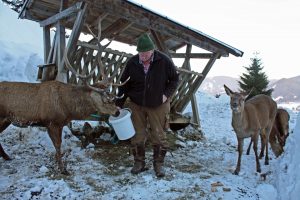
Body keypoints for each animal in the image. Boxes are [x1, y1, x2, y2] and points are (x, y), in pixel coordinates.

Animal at [0, 19, 127, 175]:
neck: (67, 109)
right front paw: (62, 169)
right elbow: (58, 145)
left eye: (111, 96)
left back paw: (7, 157)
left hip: (6, 119)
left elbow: (58, 146)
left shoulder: (59, 123)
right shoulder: (51, 122)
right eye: (104, 99)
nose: (117, 111)